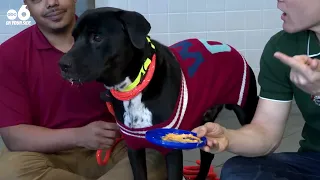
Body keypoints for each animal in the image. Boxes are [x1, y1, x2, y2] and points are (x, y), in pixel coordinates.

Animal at [58, 6, 258, 179]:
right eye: (74, 38)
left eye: (97, 37)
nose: (62, 65)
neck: (136, 86)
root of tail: (231, 48)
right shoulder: (134, 149)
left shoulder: (172, 151)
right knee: (207, 156)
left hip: (247, 110)